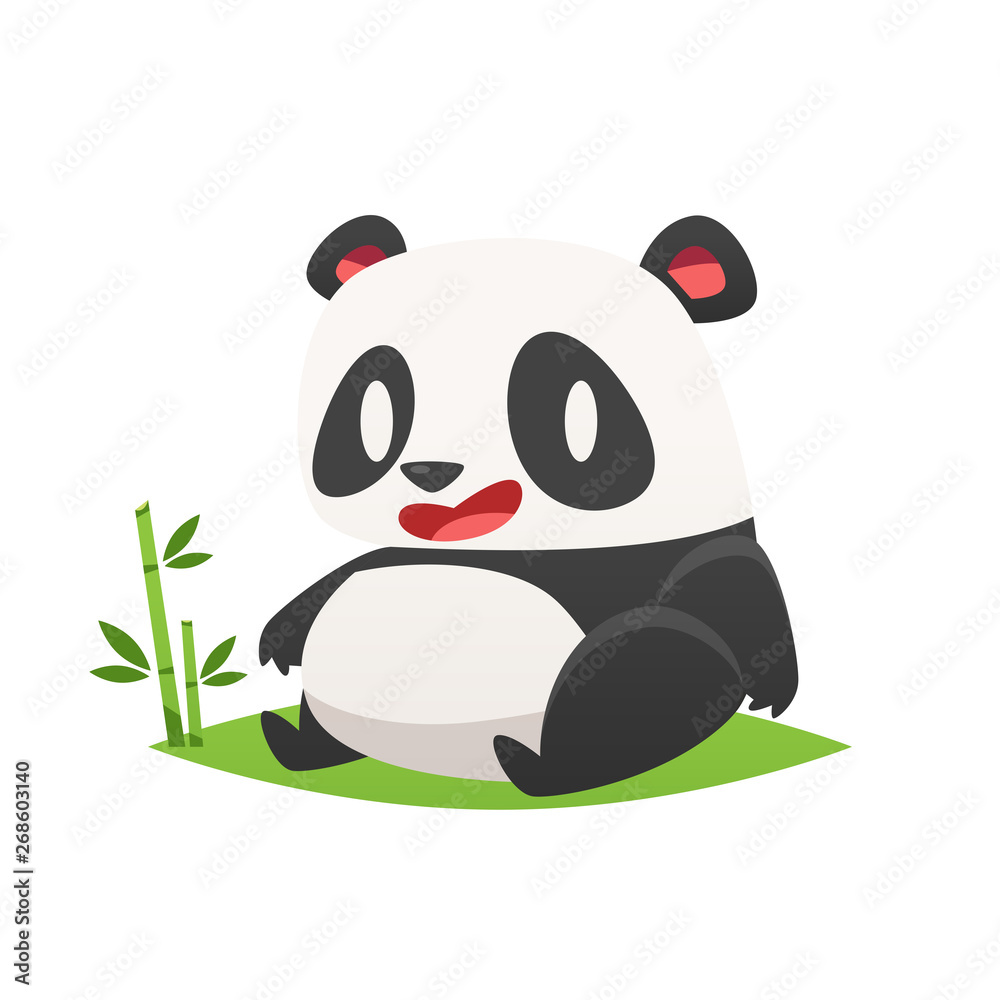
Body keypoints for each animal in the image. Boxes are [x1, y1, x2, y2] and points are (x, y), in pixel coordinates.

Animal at [258, 214, 798, 797]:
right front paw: (275, 640)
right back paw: (292, 741)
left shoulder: (674, 551)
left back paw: (532, 764)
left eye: (571, 397)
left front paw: (773, 688)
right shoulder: (402, 551)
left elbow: (715, 587)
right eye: (371, 398)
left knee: (648, 661)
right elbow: (357, 567)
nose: (432, 470)